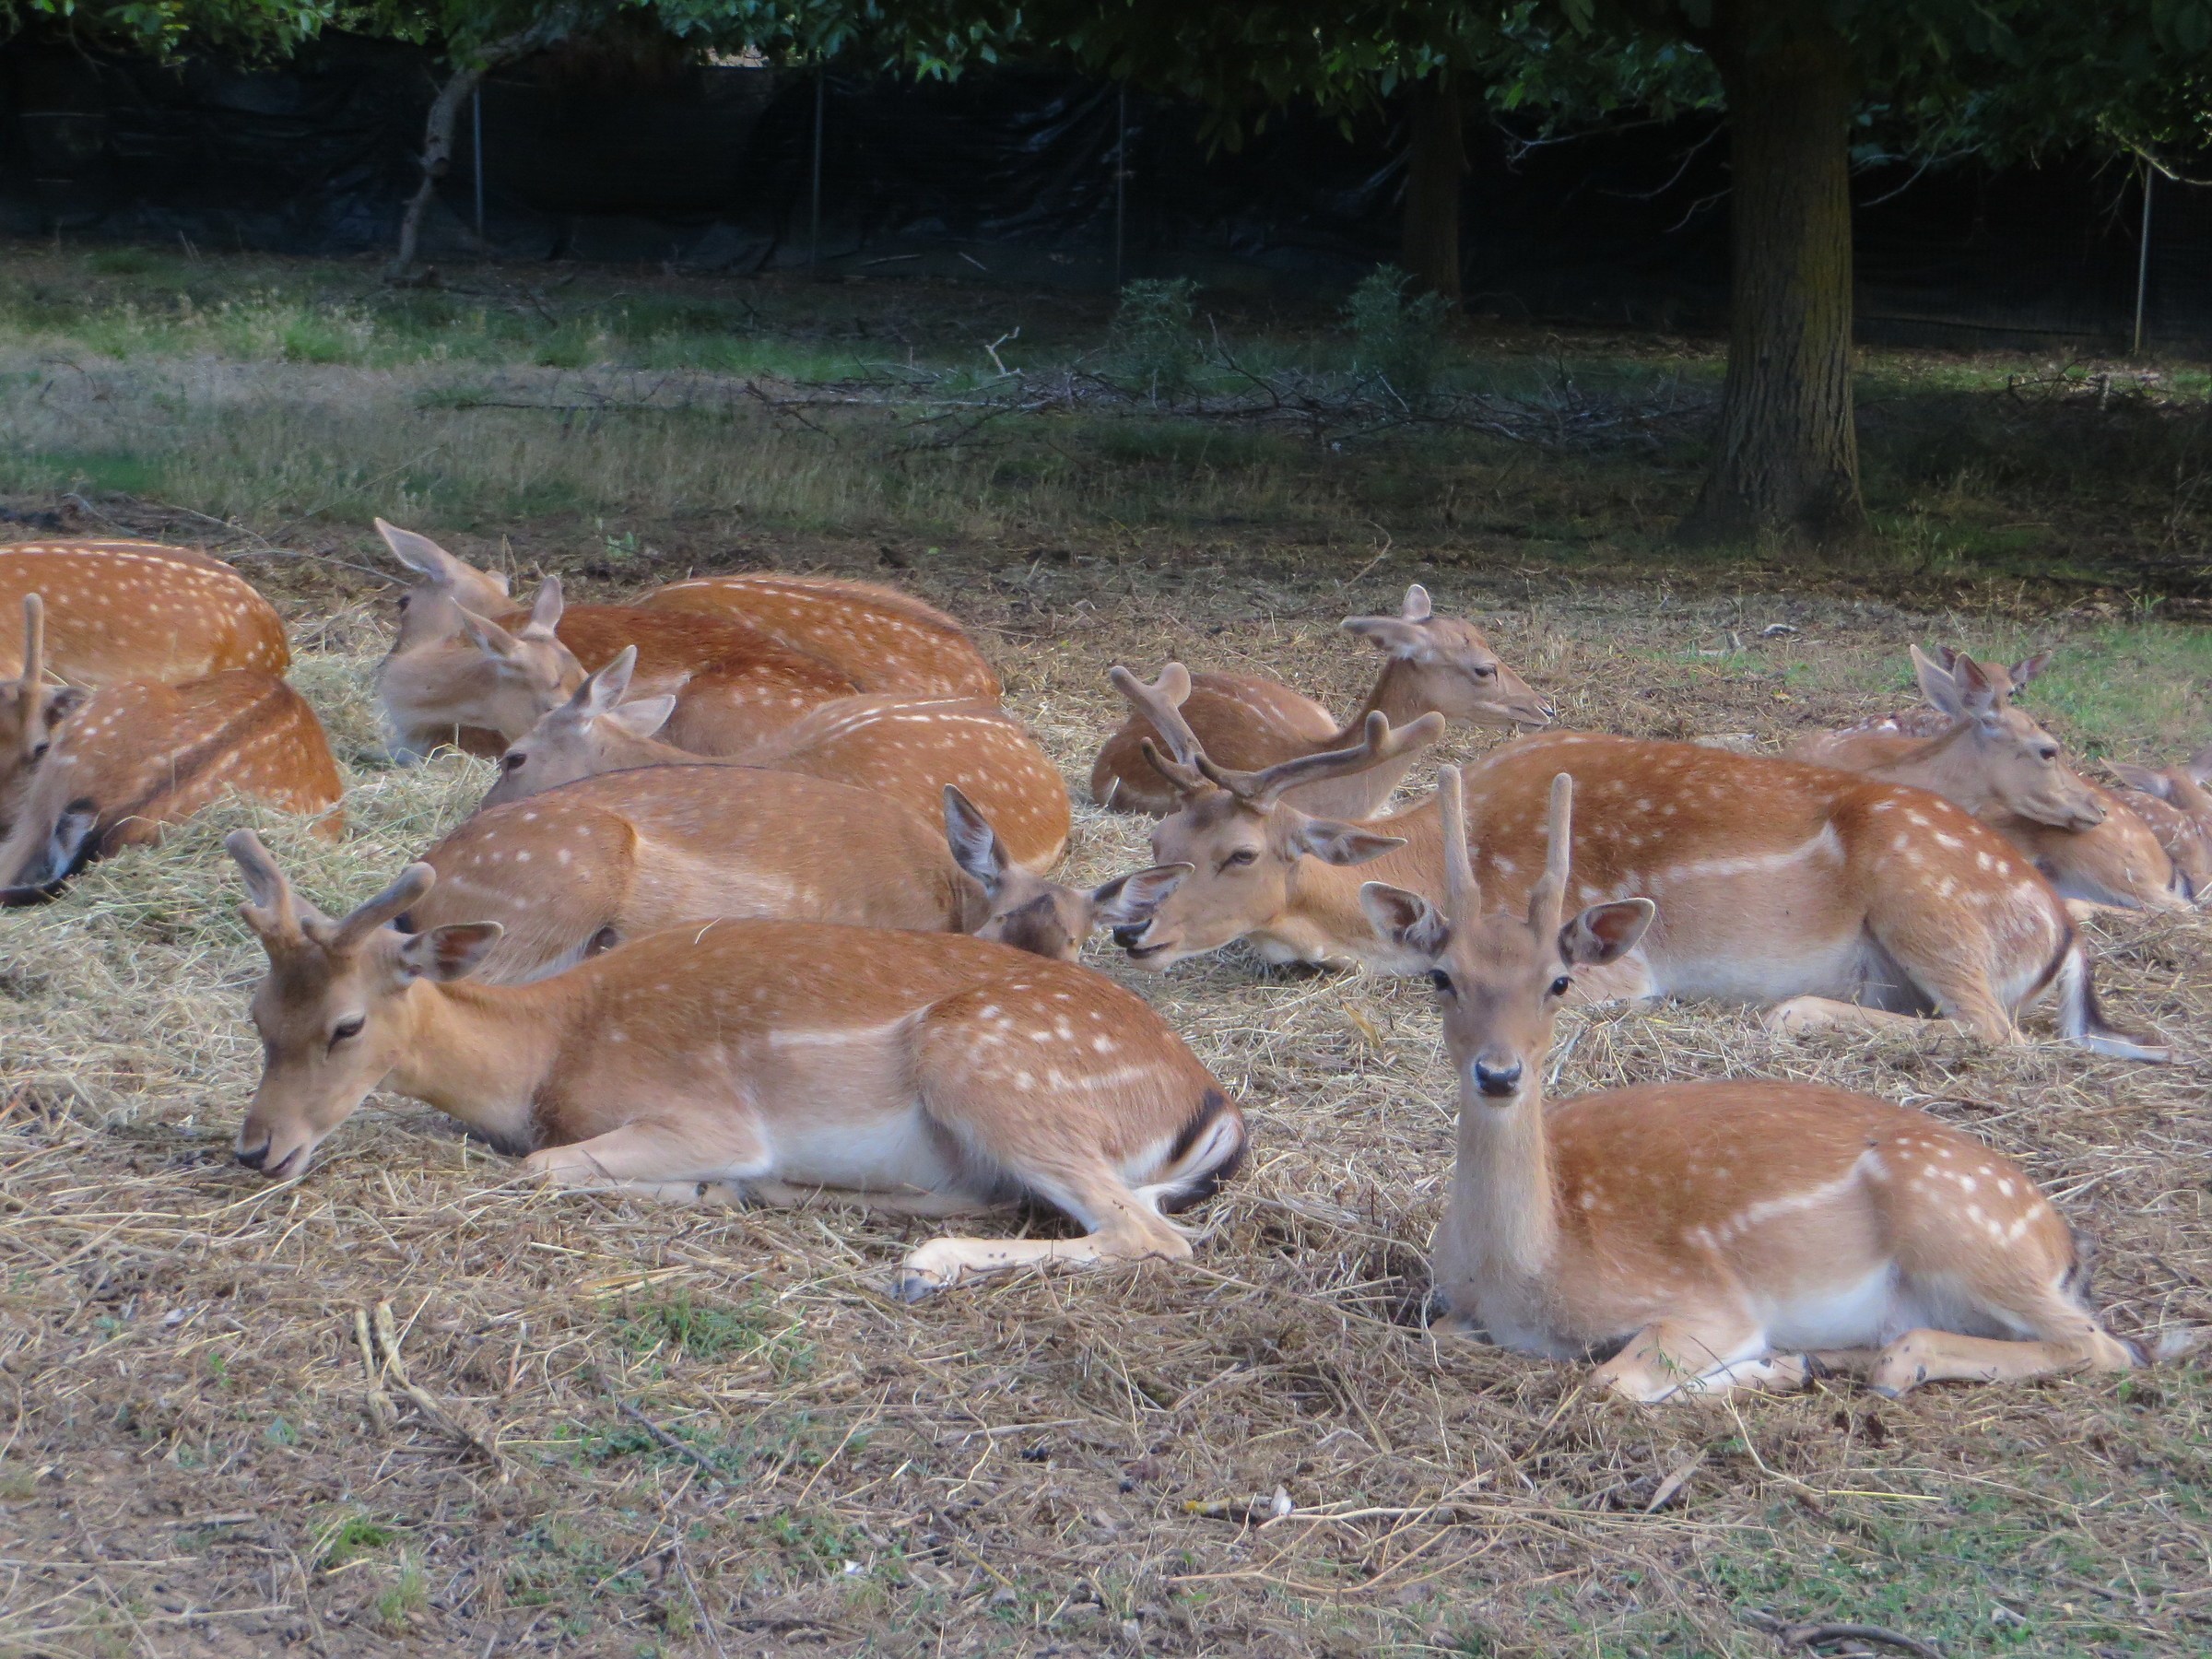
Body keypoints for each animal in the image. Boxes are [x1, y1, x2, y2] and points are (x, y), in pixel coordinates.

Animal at [223, 831, 1244, 1299]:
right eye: (259, 1014)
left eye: (346, 1026)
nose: (255, 1148)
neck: (548, 1052)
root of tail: (1211, 1109)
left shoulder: (706, 1113)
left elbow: (542, 1167)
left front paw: (701, 1187)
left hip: (992, 1068)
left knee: (1151, 1235)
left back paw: (923, 1265)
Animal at [1098, 664, 2168, 1061]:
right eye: (1160, 845)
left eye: (1239, 853)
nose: (1132, 929)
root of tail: (2059, 925)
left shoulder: (1610, 961)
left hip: (1927, 898)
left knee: (1999, 1033)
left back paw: (1794, 1012)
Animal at [1358, 766, 2145, 1401]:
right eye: (1441, 977)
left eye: (1559, 982)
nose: (1498, 1074)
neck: (1520, 1274)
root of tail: (2058, 1242)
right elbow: (1441, 1334)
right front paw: (1789, 1366)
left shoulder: (1704, 1301)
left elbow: (1612, 1379)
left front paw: (1772, 1364)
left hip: (1964, 1231)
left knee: (2102, 1344)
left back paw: (1886, 1364)